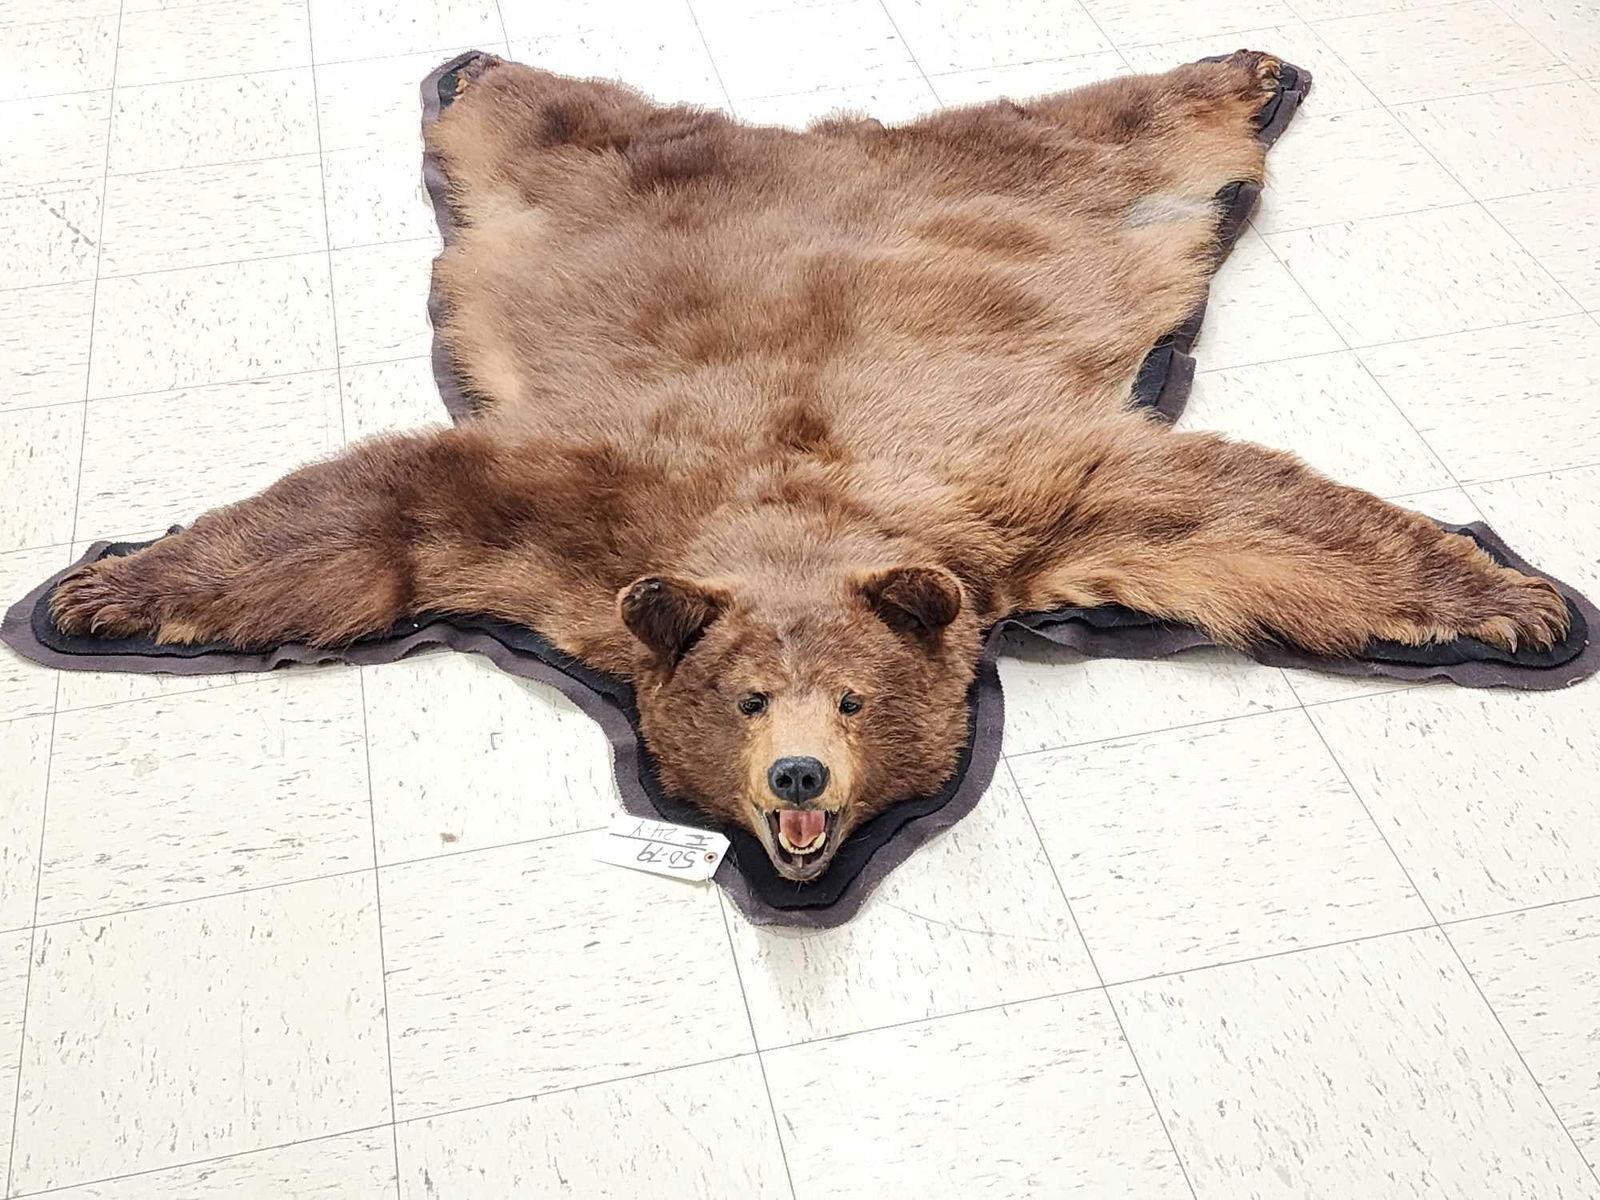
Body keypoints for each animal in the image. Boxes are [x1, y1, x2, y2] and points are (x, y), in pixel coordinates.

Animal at [49, 51, 1569, 883]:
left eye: (854, 699)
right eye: (742, 700)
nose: (796, 784)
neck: (796, 510)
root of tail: (836, 142)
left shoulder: (1024, 500)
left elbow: (1231, 509)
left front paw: (1516, 598)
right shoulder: (582, 516)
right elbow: (387, 500)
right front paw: (108, 587)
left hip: (1046, 170)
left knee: (1122, 120)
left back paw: (1246, 71)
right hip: (614, 168)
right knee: (551, 116)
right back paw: (477, 68)